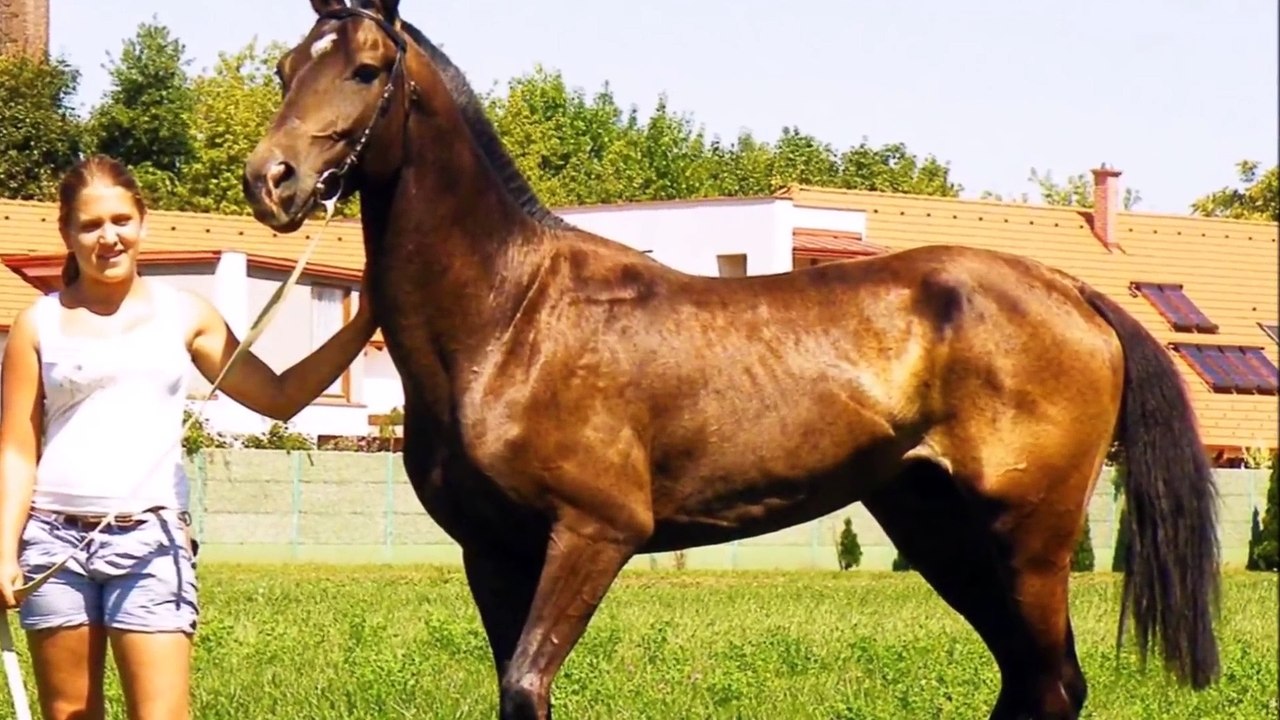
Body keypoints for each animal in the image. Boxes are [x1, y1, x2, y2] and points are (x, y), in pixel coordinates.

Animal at [241, 2, 1222, 718]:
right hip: (939, 530)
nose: (270, 180)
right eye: (287, 68)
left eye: (367, 69)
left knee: (1051, 684)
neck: (511, 317)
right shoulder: (494, 552)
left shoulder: (594, 535)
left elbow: (526, 685)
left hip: (1031, 539)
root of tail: (1071, 290)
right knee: (1030, 681)